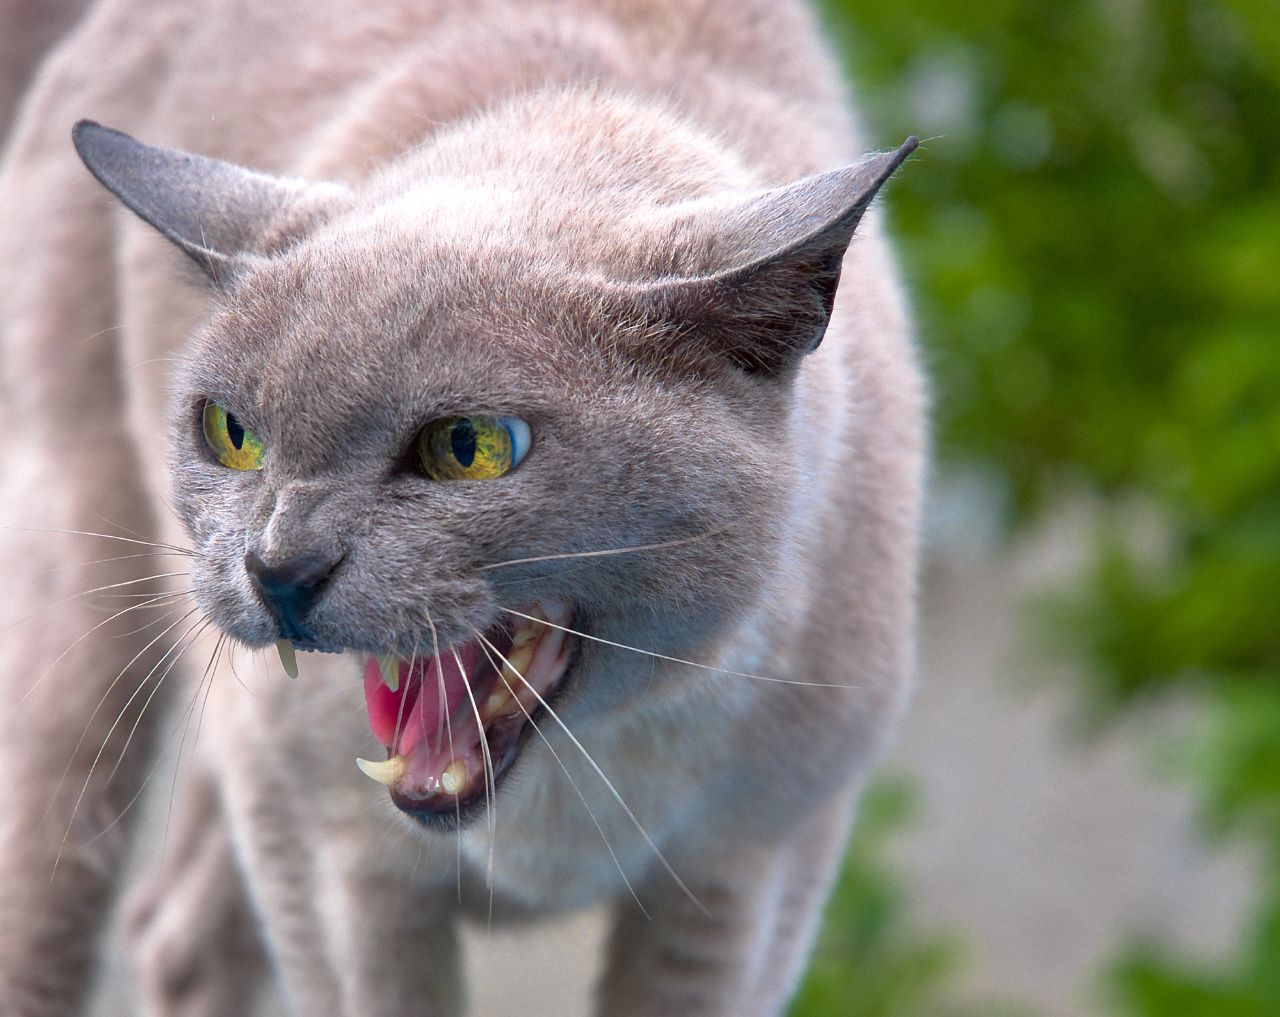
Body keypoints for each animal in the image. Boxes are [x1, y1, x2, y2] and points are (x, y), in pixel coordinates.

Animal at [0, 1, 921, 1017]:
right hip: (83, 641)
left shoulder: (748, 883)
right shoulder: (334, 863)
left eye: (470, 448)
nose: (277, 568)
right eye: (232, 433)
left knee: (176, 931)